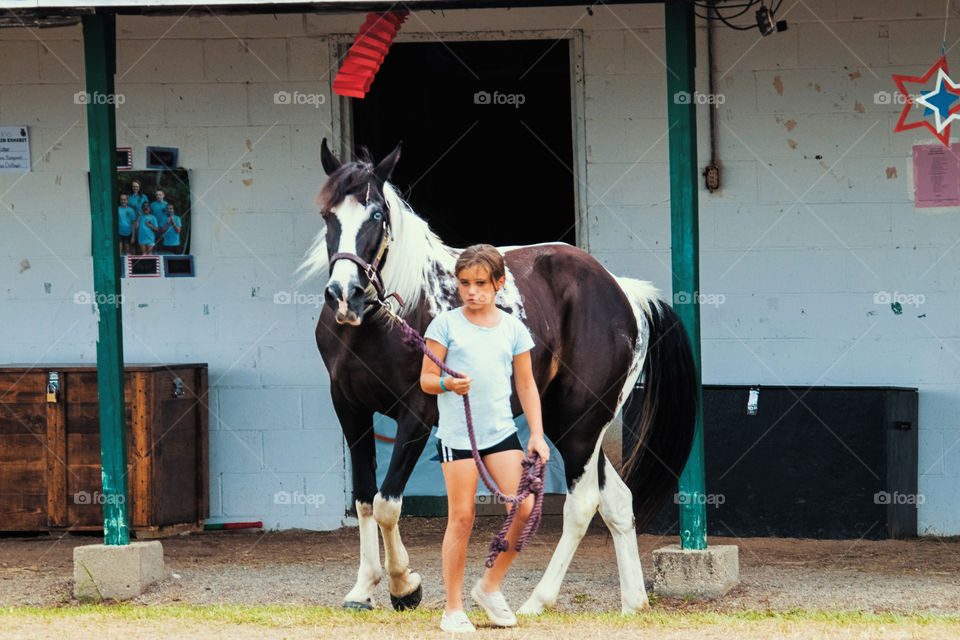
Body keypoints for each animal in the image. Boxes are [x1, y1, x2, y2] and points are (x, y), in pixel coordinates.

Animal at [299, 139, 697, 614]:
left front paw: (404, 586)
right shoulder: (350, 410)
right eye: (328, 215)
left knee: (582, 504)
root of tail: (623, 293)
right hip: (570, 423)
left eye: (377, 214)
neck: (388, 319)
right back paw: (633, 602)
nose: (345, 295)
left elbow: (387, 504)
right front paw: (363, 589)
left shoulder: (417, 414)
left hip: (581, 422)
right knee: (617, 501)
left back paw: (538, 601)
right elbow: (363, 500)